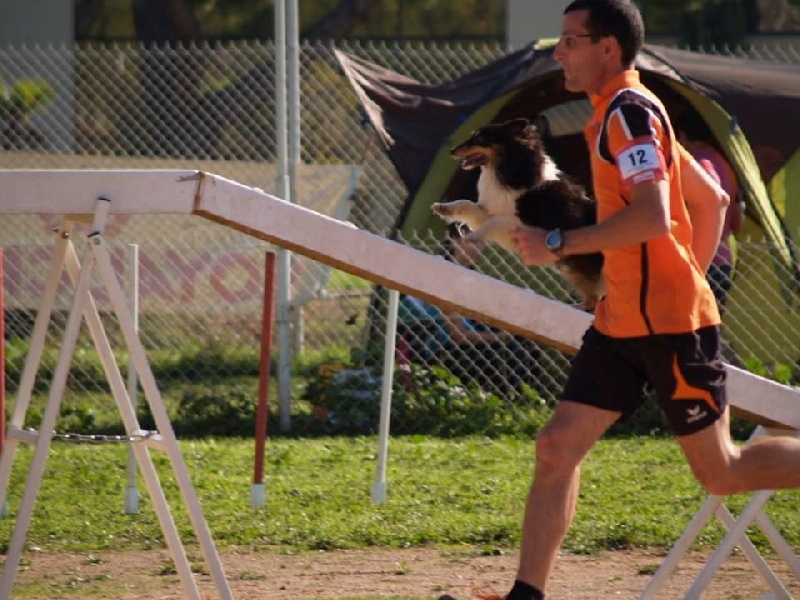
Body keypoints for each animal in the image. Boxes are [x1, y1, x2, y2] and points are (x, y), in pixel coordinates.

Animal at [434, 119, 604, 312]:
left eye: (479, 138)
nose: (452, 151)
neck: (507, 169)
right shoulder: (489, 210)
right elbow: (466, 204)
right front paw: (442, 208)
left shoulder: (522, 223)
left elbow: (495, 222)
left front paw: (471, 237)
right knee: (593, 298)